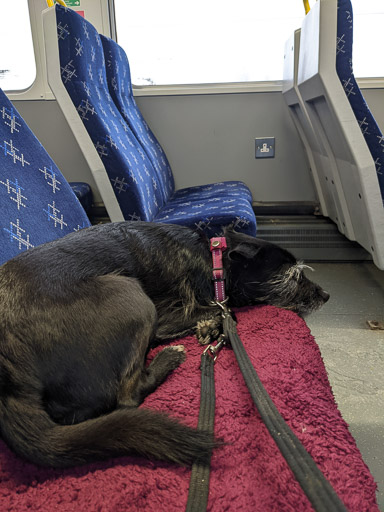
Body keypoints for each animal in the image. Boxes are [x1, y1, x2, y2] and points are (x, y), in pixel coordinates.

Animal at [0, 220, 330, 468]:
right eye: (292, 276)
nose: (326, 295)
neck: (213, 260)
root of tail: (10, 377)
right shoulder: (167, 316)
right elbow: (226, 311)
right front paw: (213, 323)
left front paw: (209, 326)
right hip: (129, 293)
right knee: (126, 396)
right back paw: (168, 359)